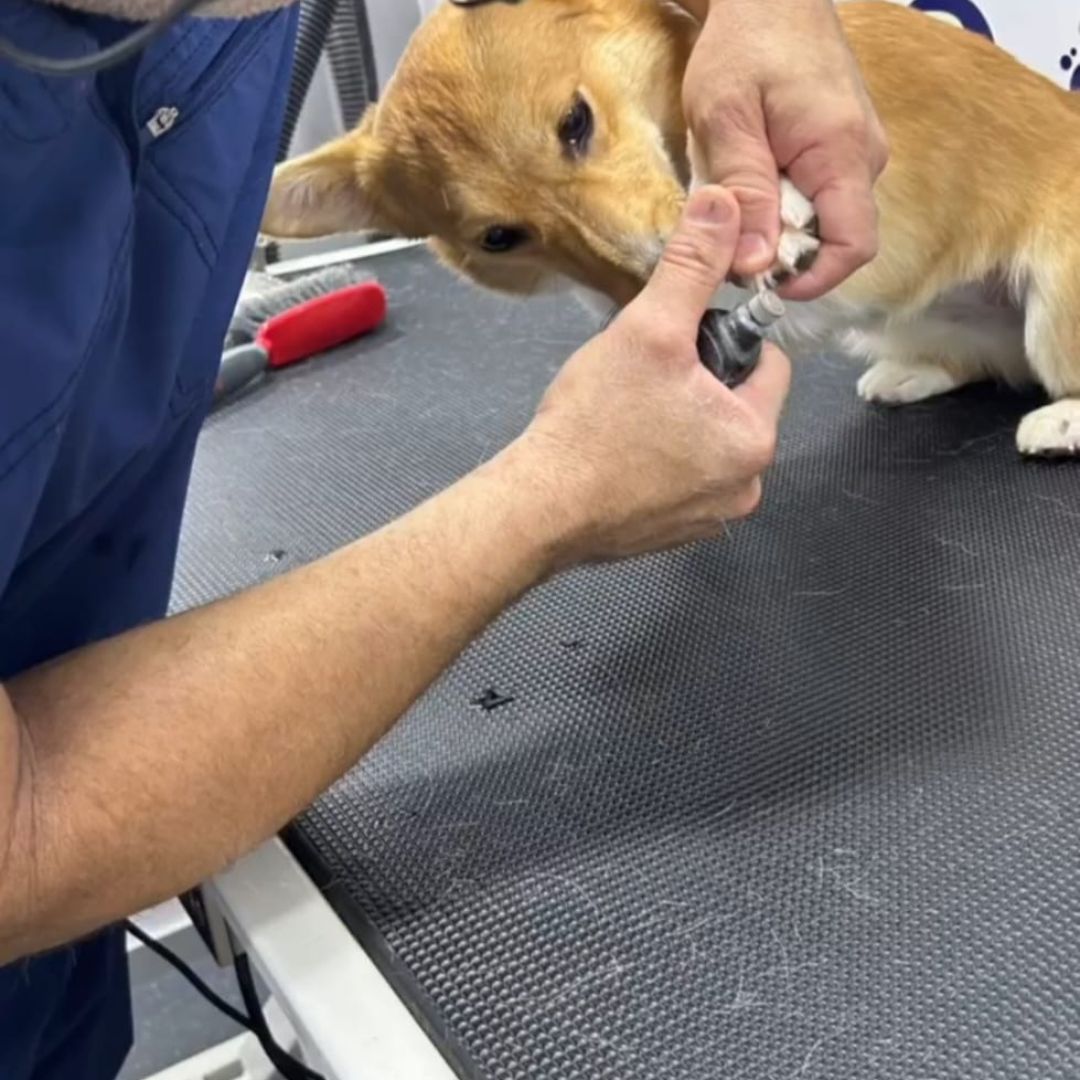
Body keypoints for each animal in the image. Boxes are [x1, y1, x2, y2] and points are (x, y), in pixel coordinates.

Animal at [260, 0, 1080, 457]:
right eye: (497, 238)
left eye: (575, 122)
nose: (656, 272)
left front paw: (779, 212)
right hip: (906, 327)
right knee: (981, 361)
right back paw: (912, 373)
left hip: (1057, 299)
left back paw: (1060, 423)